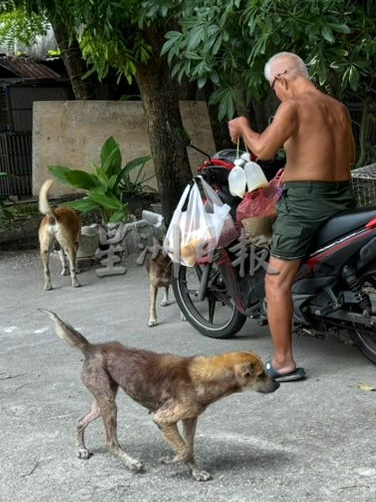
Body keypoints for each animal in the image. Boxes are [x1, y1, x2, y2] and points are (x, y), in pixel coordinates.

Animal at [39, 308, 280, 480]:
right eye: (260, 375)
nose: (278, 385)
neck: (204, 377)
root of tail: (91, 347)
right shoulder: (163, 419)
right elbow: (183, 448)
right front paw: (171, 462)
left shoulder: (190, 419)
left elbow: (189, 447)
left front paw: (195, 471)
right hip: (109, 404)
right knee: (111, 442)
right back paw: (131, 463)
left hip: (102, 400)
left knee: (80, 421)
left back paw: (81, 449)